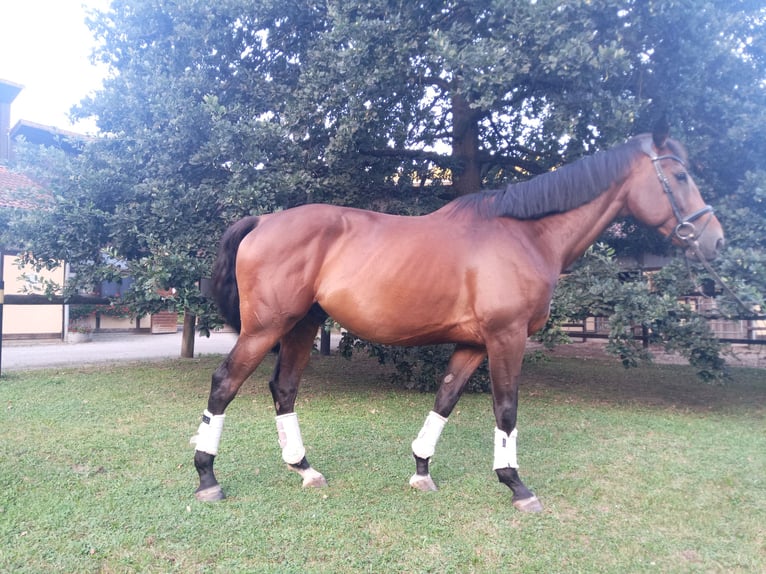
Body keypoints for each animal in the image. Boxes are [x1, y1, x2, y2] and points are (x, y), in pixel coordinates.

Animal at [190, 128, 728, 516]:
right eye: (680, 176)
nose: (715, 239)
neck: (527, 235)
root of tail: (264, 220)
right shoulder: (507, 338)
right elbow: (506, 410)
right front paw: (516, 485)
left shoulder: (473, 344)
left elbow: (445, 399)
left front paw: (422, 470)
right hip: (266, 328)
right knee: (224, 383)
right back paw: (207, 478)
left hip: (301, 326)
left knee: (283, 388)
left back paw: (304, 469)